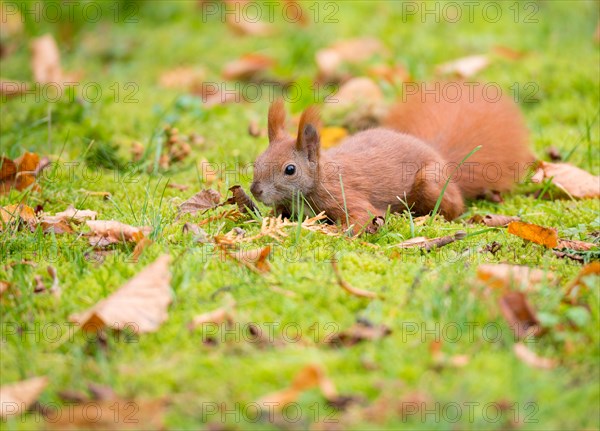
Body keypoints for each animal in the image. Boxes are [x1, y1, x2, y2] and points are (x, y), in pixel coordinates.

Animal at [248, 83, 536, 235]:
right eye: (257, 160)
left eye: (290, 169)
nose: (255, 190)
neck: (321, 177)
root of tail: (440, 157)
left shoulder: (343, 194)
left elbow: (362, 217)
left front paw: (333, 232)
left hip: (430, 183)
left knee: (455, 207)